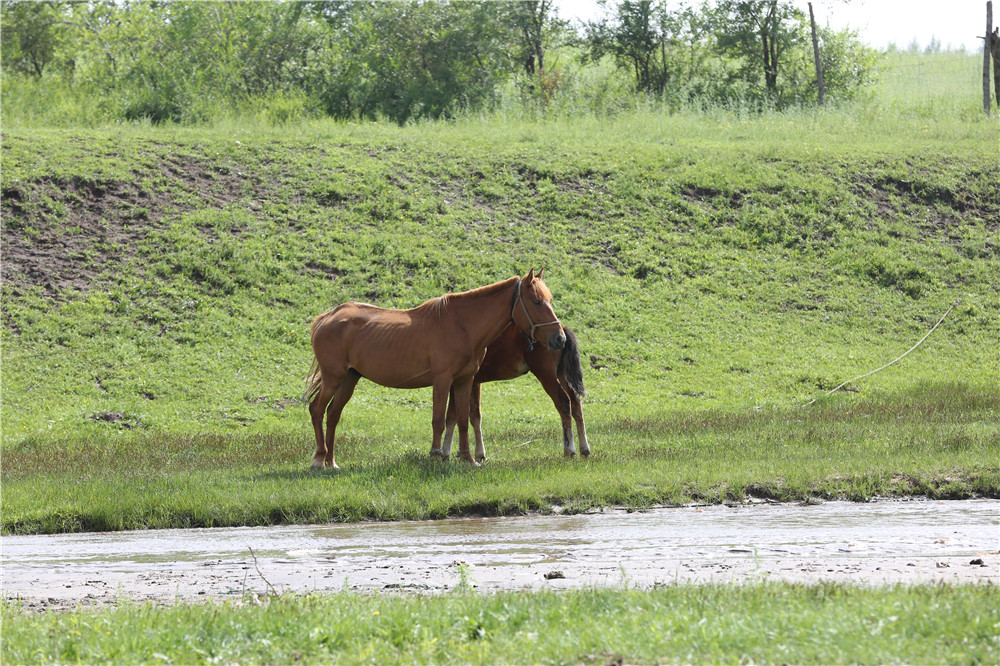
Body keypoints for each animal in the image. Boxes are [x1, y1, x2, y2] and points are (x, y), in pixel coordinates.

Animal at [300, 268, 568, 466]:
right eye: (536, 301)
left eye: (549, 300)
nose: (560, 338)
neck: (462, 325)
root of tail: (327, 317)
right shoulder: (442, 379)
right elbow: (439, 419)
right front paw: (437, 454)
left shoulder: (464, 380)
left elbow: (462, 419)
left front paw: (468, 458)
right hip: (333, 378)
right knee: (316, 410)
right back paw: (319, 460)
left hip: (349, 379)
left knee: (333, 414)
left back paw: (331, 462)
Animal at [442, 322, 588, 460]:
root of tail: (562, 329)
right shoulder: (474, 383)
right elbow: (475, 416)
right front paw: (479, 454)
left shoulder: (457, 383)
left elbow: (452, 416)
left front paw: (445, 453)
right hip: (561, 374)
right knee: (575, 402)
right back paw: (585, 449)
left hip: (546, 374)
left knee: (564, 402)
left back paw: (569, 450)